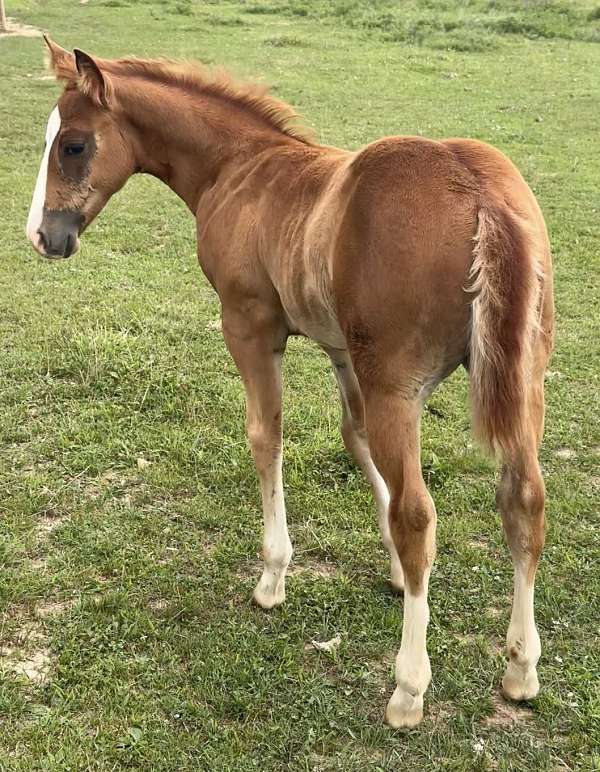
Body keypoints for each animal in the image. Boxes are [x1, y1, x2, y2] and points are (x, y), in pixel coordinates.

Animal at [26, 37, 554, 728]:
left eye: (74, 145)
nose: (43, 236)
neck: (236, 169)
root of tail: (481, 194)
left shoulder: (249, 327)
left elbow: (266, 435)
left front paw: (273, 576)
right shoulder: (342, 351)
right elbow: (354, 439)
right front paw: (390, 568)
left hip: (400, 387)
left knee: (421, 515)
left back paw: (409, 687)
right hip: (522, 382)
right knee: (524, 500)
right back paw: (520, 668)